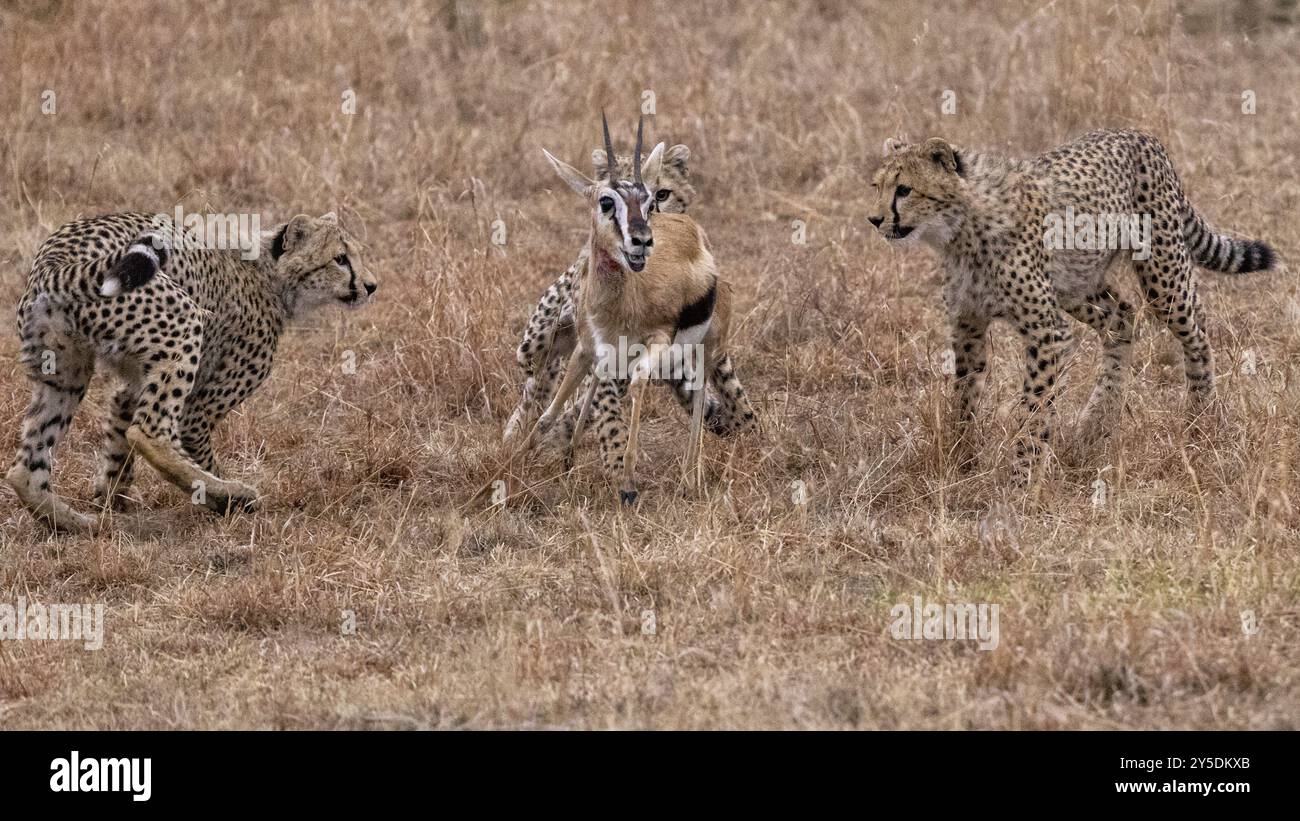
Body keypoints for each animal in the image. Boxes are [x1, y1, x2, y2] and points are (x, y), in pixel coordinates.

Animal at [507, 113, 756, 505]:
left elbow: (636, 388)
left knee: (701, 394)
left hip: (705, 348)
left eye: (653, 196)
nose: (642, 240)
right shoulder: (589, 348)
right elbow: (553, 411)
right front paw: (520, 463)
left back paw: (690, 477)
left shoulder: (653, 344)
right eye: (605, 201)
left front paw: (626, 479)